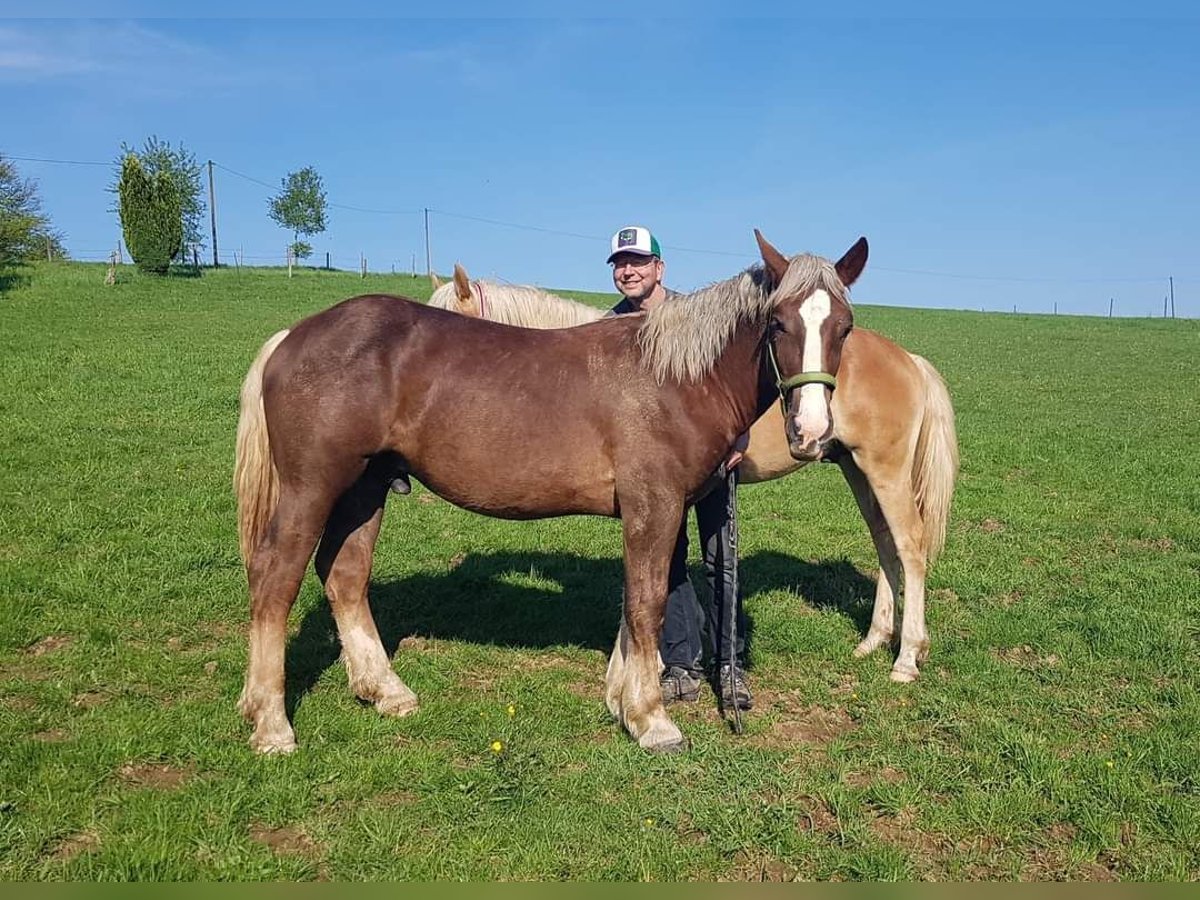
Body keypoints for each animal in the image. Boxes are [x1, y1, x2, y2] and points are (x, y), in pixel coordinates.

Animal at [234, 230, 868, 753]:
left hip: (365, 489)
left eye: (844, 327)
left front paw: (621, 700)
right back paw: (272, 724)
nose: (811, 433)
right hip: (312, 487)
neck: (672, 377)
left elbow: (635, 601)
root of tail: (294, 335)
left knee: (344, 576)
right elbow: (647, 602)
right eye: (778, 323)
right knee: (275, 577)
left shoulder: (653, 510)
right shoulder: (654, 505)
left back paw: (386, 691)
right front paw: (652, 720)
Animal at [429, 260, 955, 681]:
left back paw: (906, 658)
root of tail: (909, 359)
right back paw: (873, 640)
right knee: (885, 543)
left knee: (910, 546)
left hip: (884, 469)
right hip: (855, 467)